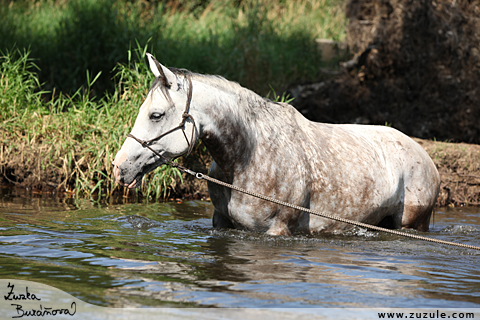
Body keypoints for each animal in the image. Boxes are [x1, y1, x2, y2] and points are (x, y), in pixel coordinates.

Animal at [111, 53, 438, 235]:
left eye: (156, 115)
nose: (119, 167)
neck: (249, 157)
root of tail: (424, 155)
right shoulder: (221, 223)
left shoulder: (277, 230)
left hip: (412, 224)